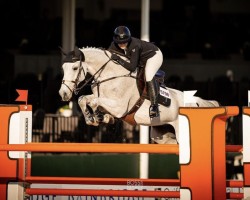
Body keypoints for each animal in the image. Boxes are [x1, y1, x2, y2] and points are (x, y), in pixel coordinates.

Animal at [58, 47, 219, 144]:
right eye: (63, 68)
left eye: (74, 68)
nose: (63, 93)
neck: (109, 75)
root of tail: (196, 103)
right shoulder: (102, 99)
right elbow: (84, 99)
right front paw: (93, 118)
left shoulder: (119, 108)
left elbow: (94, 102)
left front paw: (98, 117)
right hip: (164, 135)